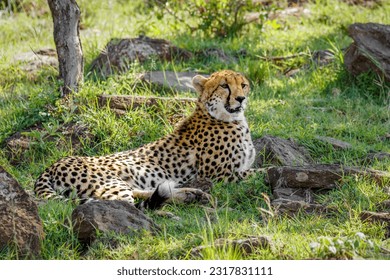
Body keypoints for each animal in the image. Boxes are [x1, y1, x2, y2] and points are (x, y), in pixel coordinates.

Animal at [35, 70, 258, 209]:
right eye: (224, 86)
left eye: (243, 85)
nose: (241, 98)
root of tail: (53, 164)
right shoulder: (219, 174)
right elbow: (256, 172)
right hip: (110, 182)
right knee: (124, 204)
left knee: (142, 193)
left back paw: (190, 194)